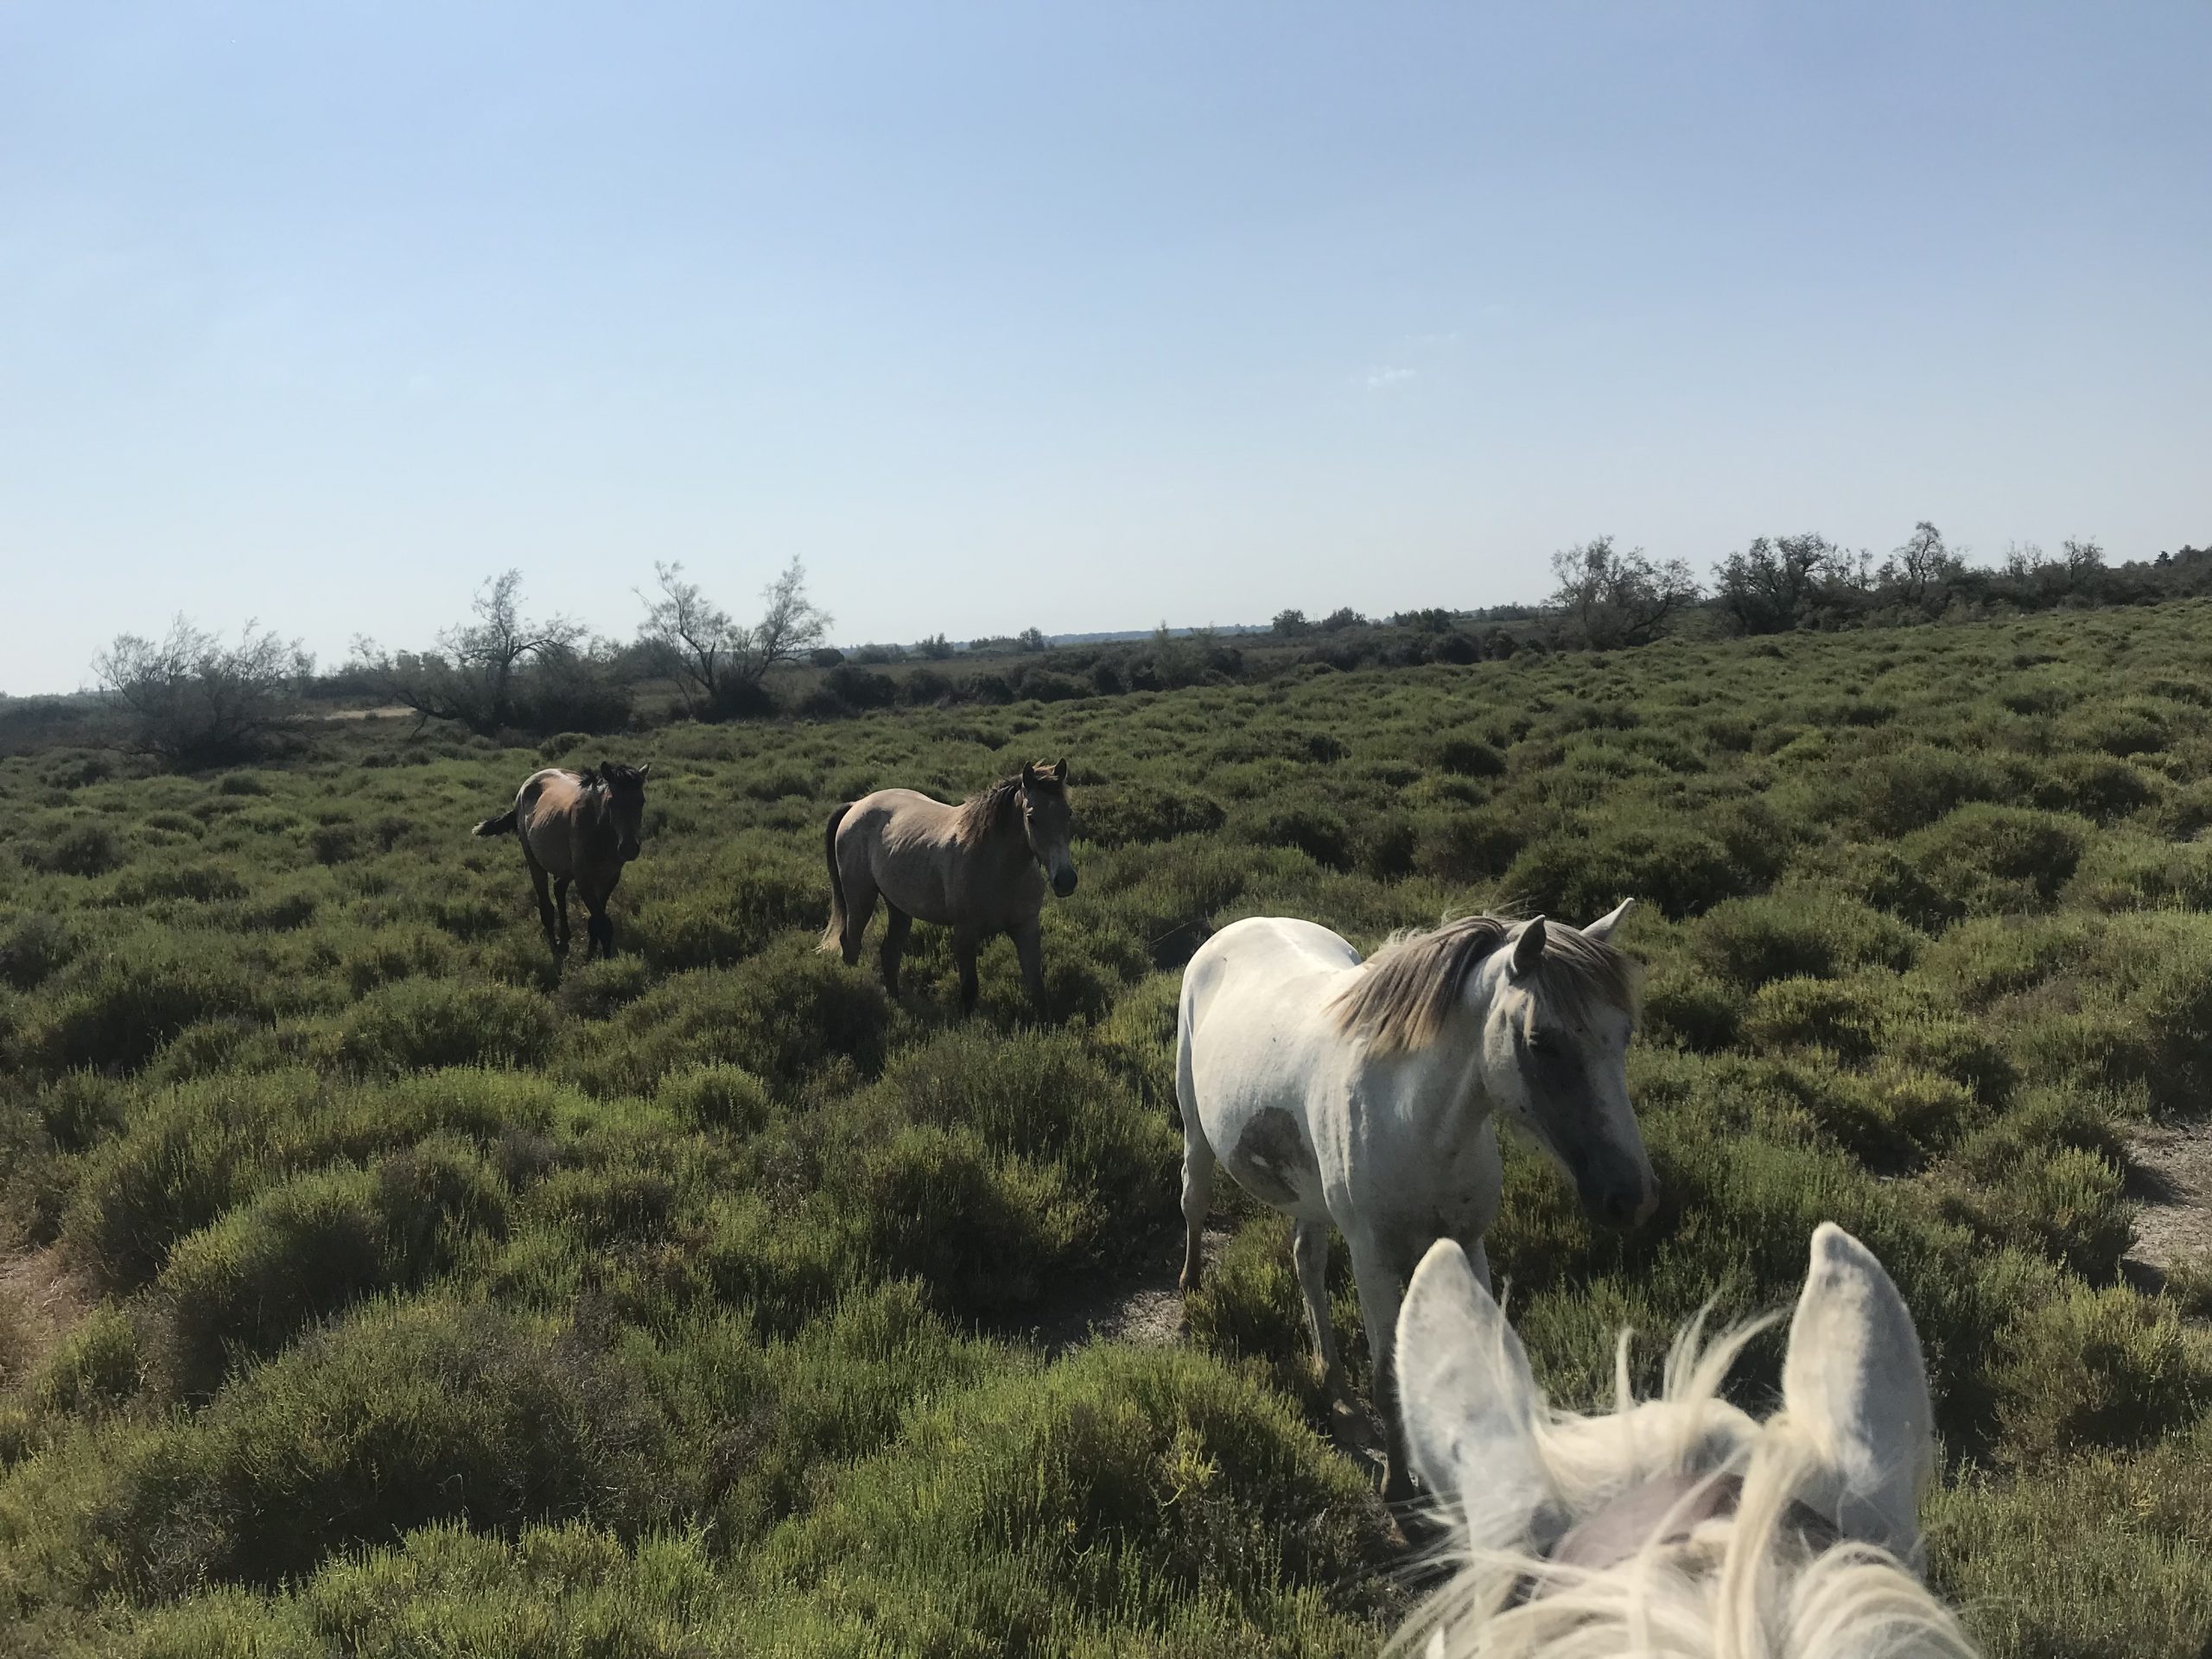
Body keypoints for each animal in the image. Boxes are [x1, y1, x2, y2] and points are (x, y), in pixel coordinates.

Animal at [472, 762, 651, 961]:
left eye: (641, 801)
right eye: (611, 802)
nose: (629, 848)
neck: (598, 829)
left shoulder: (610, 877)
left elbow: (596, 920)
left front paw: (592, 954)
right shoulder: (584, 880)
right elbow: (603, 923)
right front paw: (605, 961)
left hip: (566, 869)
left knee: (559, 889)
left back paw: (565, 937)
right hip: (535, 862)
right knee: (546, 906)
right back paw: (556, 945)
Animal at [820, 759, 1076, 1016]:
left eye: (1068, 814)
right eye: (1031, 818)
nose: (1066, 880)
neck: (998, 868)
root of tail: (857, 805)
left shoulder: (1027, 928)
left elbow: (1037, 989)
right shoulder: (965, 933)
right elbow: (969, 989)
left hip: (899, 907)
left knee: (890, 953)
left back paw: (896, 1004)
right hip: (860, 899)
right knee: (851, 945)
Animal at [1174, 904, 1655, 1502]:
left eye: (1625, 1034)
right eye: (1541, 1041)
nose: (1630, 1198)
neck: (1416, 1121)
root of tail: (1244, 924)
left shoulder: (1466, 1241)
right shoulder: (1372, 1258)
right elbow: (1387, 1375)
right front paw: (1398, 1484)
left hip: (1307, 1195)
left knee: (1307, 1264)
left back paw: (1340, 1399)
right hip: (1195, 1127)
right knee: (1195, 1199)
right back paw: (1191, 1285)